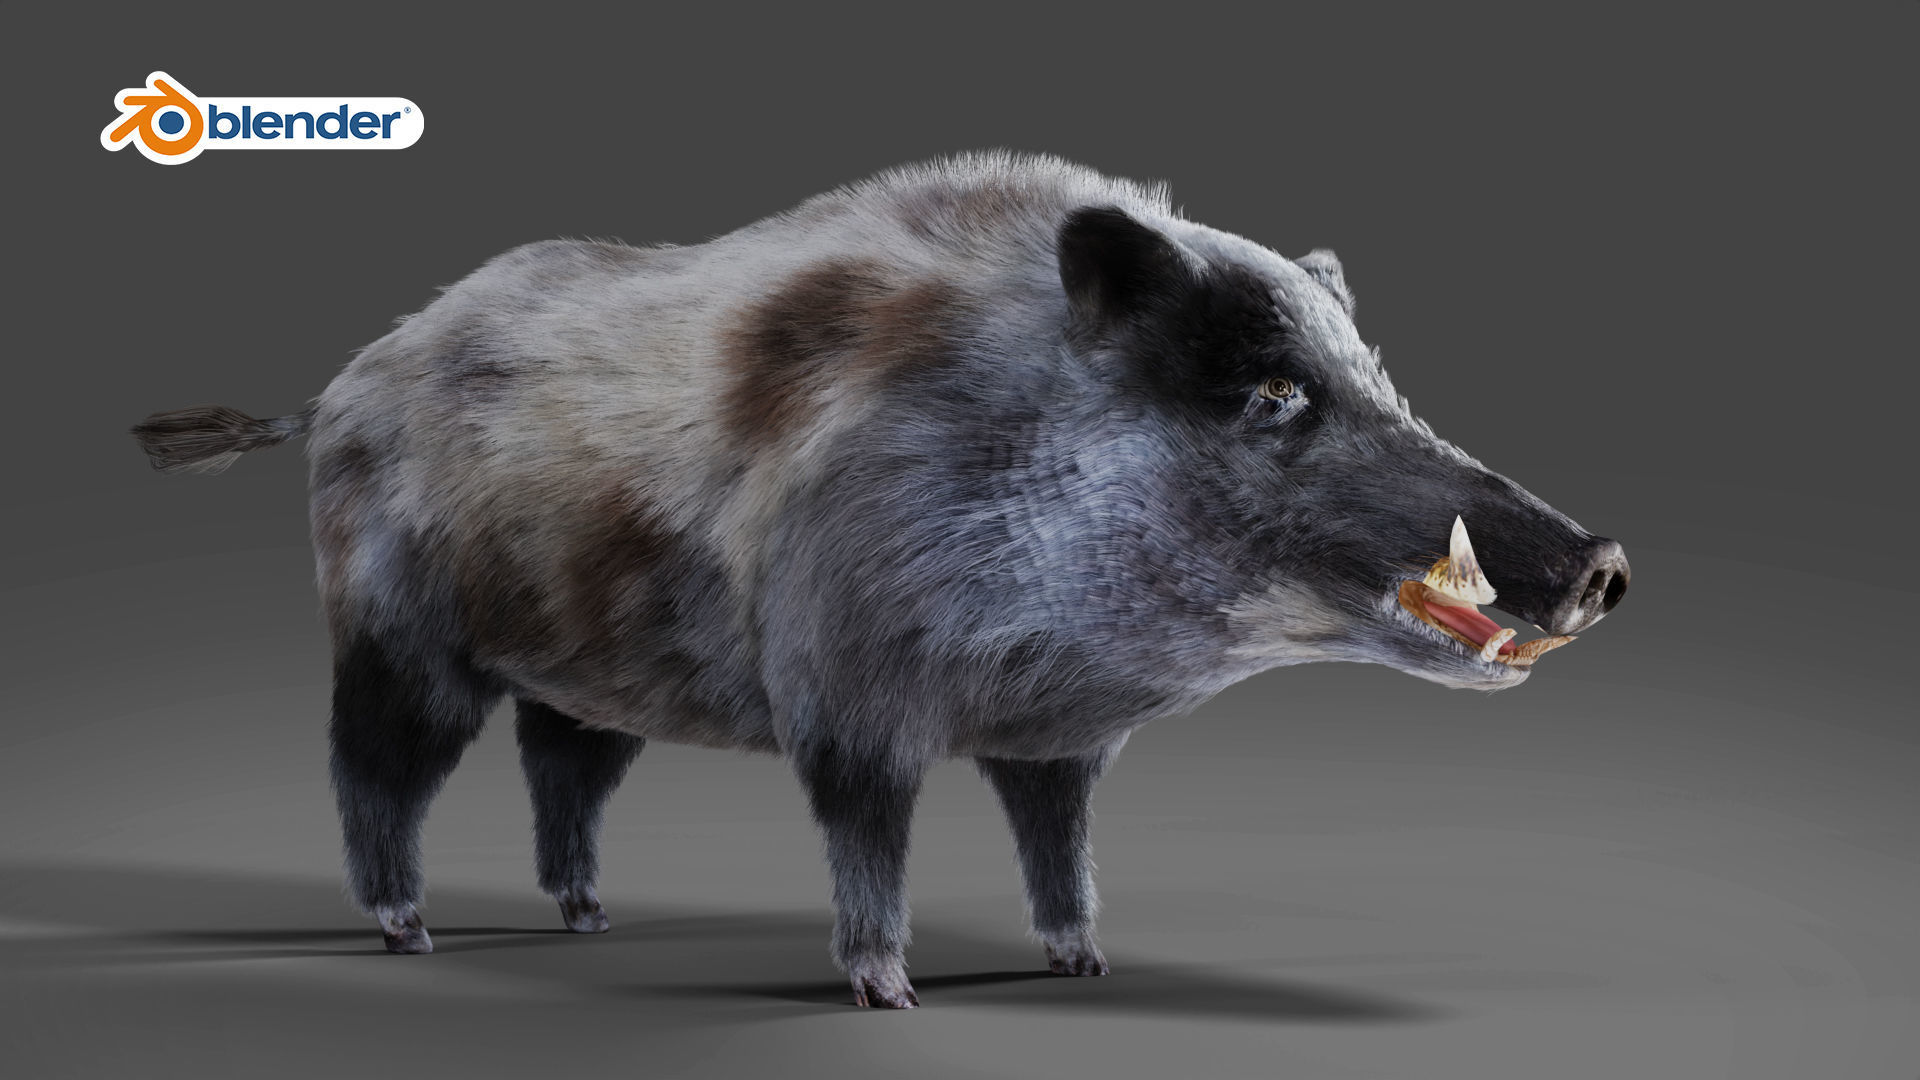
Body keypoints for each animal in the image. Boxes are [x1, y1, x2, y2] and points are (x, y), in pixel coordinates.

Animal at [132, 151, 1628, 1008]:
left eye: (1378, 376)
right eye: (1270, 391)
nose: (1604, 561)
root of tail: (343, 382)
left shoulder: (1057, 739)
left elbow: (1060, 840)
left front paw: (1081, 967)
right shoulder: (845, 684)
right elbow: (867, 827)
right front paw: (888, 993)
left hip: (585, 674)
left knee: (564, 765)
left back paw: (586, 917)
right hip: (394, 630)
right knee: (373, 764)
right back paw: (409, 936)